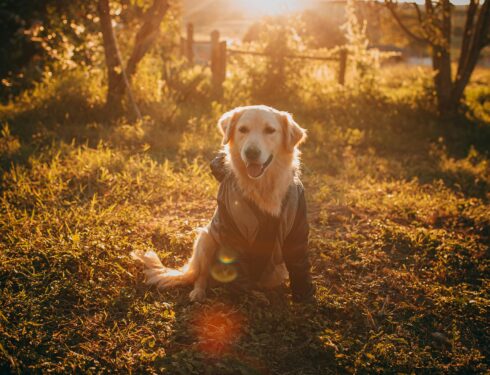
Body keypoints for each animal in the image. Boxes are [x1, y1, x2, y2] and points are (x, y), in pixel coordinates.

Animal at [131, 105, 314, 302]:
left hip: (276, 270)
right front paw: (243, 297)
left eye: (270, 130)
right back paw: (199, 292)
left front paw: (304, 296)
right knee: (201, 276)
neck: (262, 185)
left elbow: (299, 263)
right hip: (206, 239)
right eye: (243, 129)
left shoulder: (297, 230)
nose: (251, 152)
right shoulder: (232, 229)